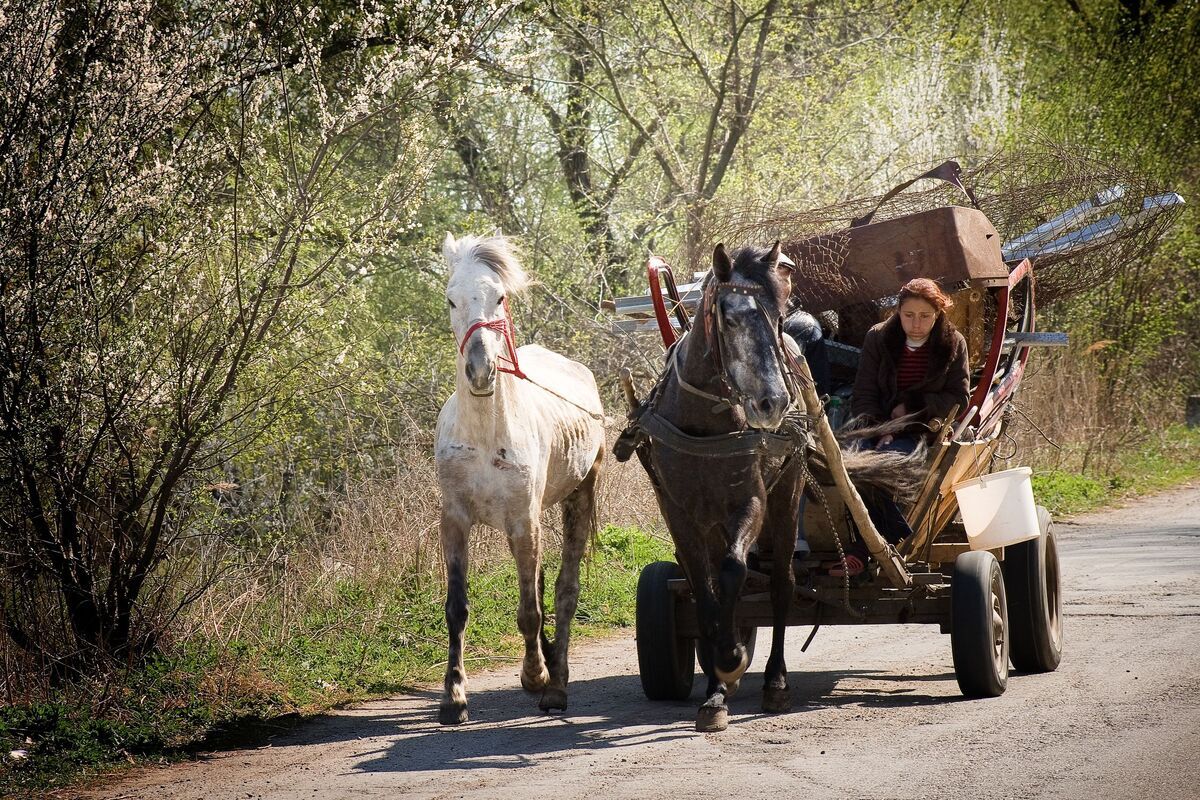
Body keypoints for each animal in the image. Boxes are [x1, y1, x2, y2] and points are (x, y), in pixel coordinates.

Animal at [434, 233, 605, 725]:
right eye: (451, 299)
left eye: (499, 297)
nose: (479, 370)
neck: (485, 436)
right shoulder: (454, 521)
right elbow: (457, 608)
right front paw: (453, 697)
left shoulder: (522, 523)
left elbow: (531, 610)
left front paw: (536, 675)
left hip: (579, 498)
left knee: (565, 591)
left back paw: (556, 684)